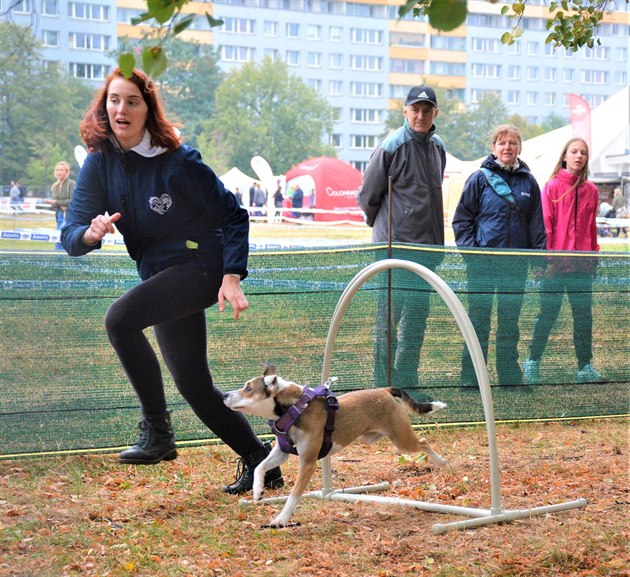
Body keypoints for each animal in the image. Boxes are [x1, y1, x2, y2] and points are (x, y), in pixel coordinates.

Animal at [225, 362, 446, 528]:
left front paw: (281, 519)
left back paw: (441, 461)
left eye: (248, 388)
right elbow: (260, 467)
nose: (225, 395)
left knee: (423, 442)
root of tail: (384, 390)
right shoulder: (282, 452)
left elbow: (294, 496)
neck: (295, 409)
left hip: (402, 439)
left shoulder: (308, 463)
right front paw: (257, 490)